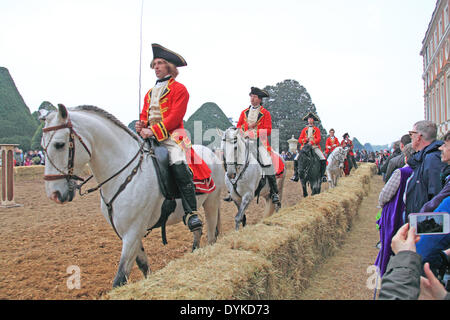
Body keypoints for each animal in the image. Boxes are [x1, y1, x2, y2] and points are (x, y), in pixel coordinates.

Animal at [41, 105, 224, 288]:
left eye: (59, 144)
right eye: (43, 146)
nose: (53, 194)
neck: (124, 173)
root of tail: (212, 152)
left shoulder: (133, 232)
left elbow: (120, 278)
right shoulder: (126, 233)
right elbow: (143, 266)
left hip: (211, 203)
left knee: (210, 236)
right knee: (197, 231)